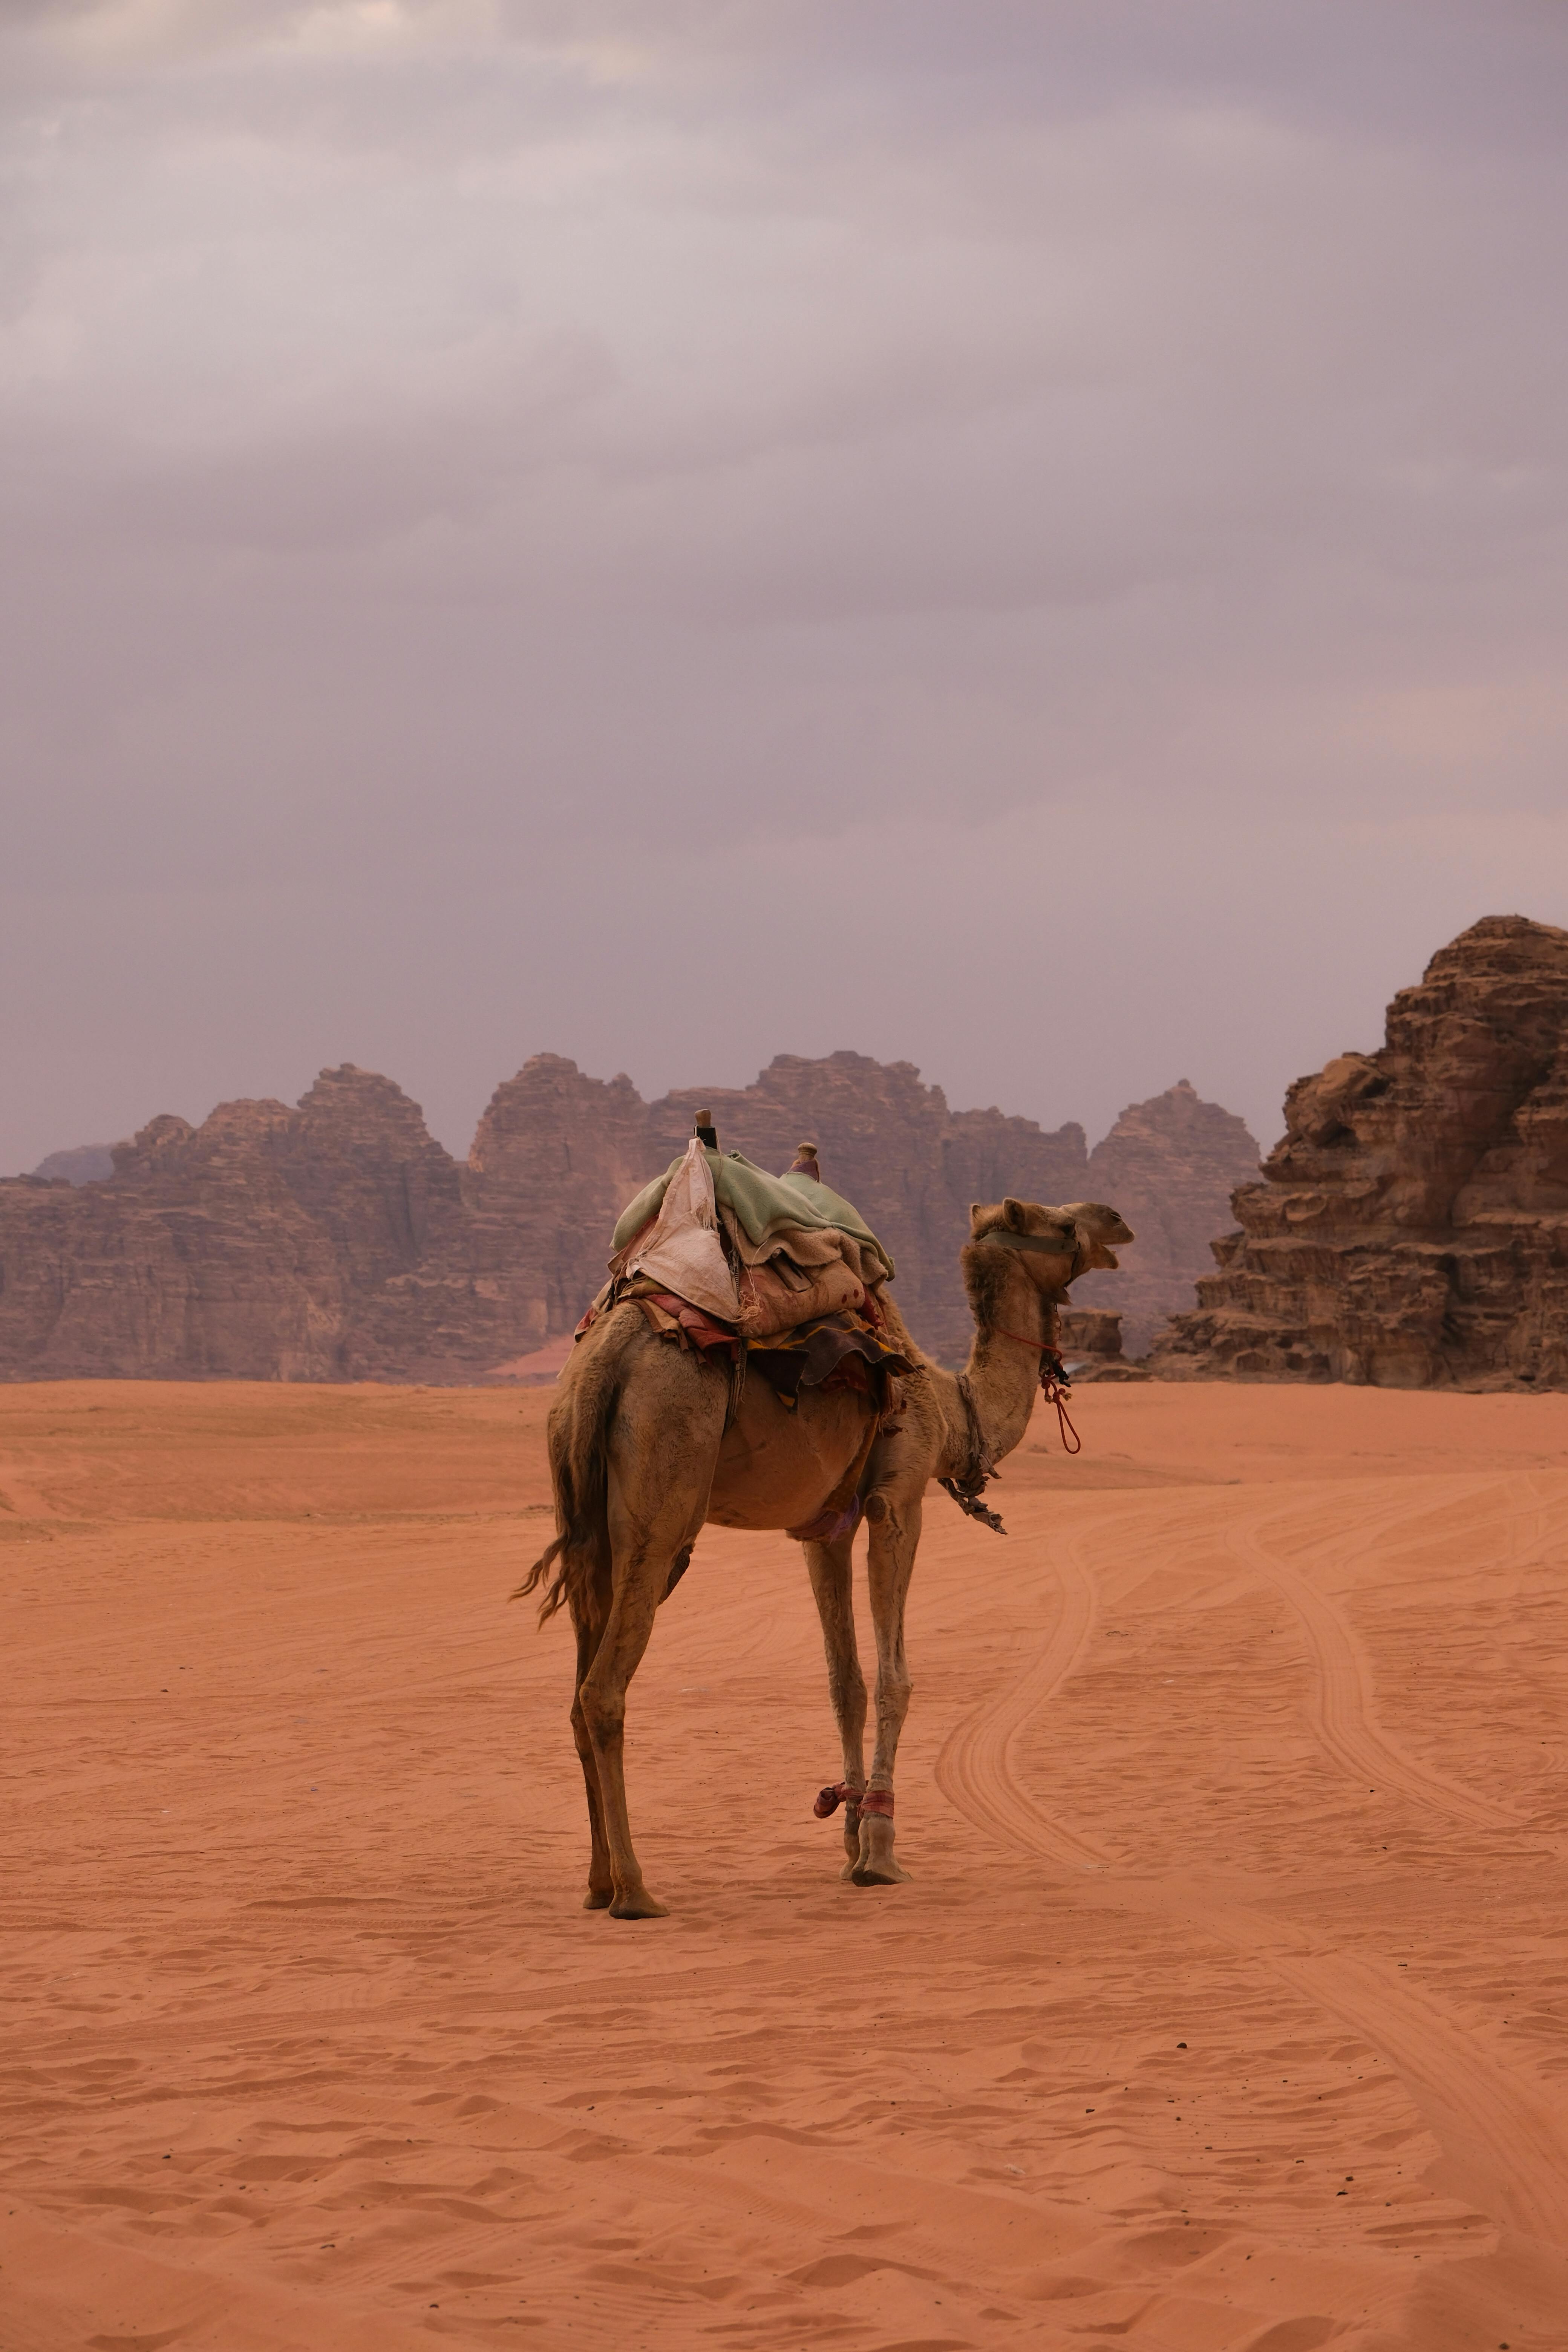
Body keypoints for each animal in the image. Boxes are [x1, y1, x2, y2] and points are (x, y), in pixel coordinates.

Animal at [519, 1190, 1134, 1918]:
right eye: (1063, 1223)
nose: (1117, 1221)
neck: (950, 1407)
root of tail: (601, 1364)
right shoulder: (898, 1500)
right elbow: (896, 1678)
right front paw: (881, 1853)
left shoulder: (823, 1529)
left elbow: (847, 1682)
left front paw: (849, 1841)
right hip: (662, 1504)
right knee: (603, 1691)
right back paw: (636, 1890)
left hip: (587, 1517)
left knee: (577, 1691)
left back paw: (596, 1882)